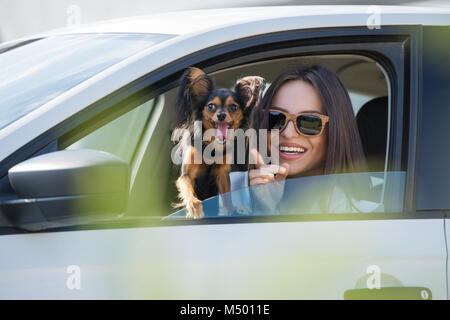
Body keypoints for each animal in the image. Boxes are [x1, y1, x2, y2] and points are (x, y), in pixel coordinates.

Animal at [171, 66, 264, 219]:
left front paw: (229, 211)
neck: (213, 145)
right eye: (211, 106)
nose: (221, 115)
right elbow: (188, 189)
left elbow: (227, 197)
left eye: (233, 107)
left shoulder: (222, 175)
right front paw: (194, 207)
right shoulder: (186, 175)